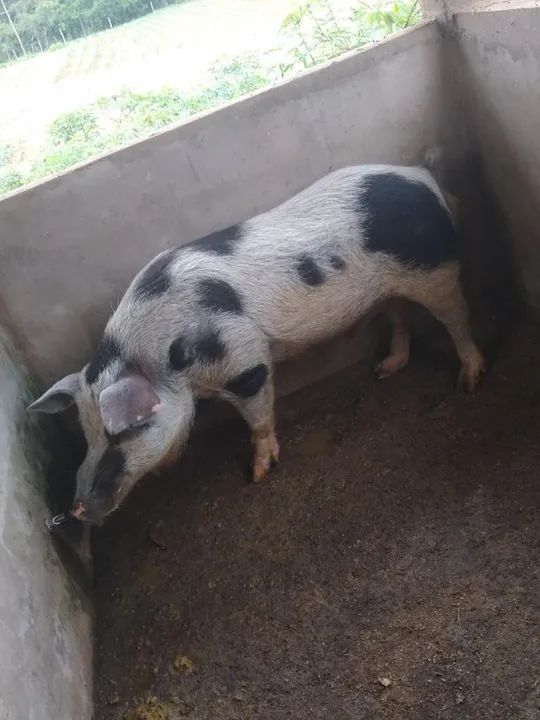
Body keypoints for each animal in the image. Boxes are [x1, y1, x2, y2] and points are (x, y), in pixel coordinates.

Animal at [29, 164, 485, 524]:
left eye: (123, 432)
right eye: (87, 434)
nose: (76, 510)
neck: (169, 364)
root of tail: (424, 180)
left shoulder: (246, 362)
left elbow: (258, 417)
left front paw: (259, 473)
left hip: (436, 269)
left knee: (459, 318)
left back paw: (469, 381)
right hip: (389, 289)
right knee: (399, 317)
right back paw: (385, 369)